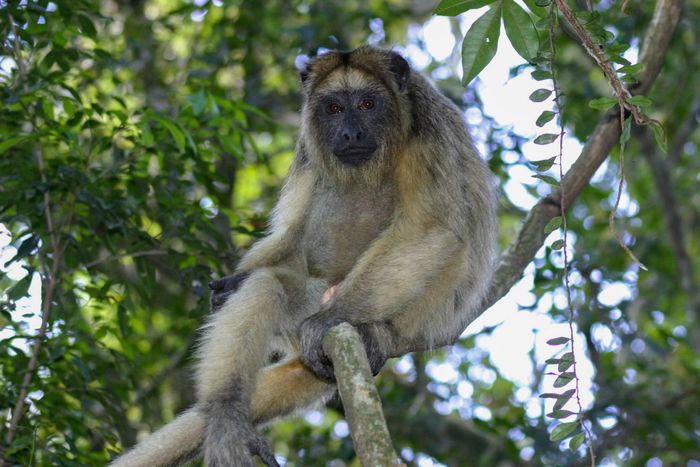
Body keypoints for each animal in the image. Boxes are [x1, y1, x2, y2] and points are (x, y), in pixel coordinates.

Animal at [112, 46, 498, 467]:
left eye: (367, 104)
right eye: (333, 108)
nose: (350, 133)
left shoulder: (430, 131)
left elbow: (430, 228)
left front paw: (327, 320)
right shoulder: (307, 146)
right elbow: (291, 231)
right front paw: (234, 282)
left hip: (406, 314)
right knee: (269, 285)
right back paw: (226, 413)